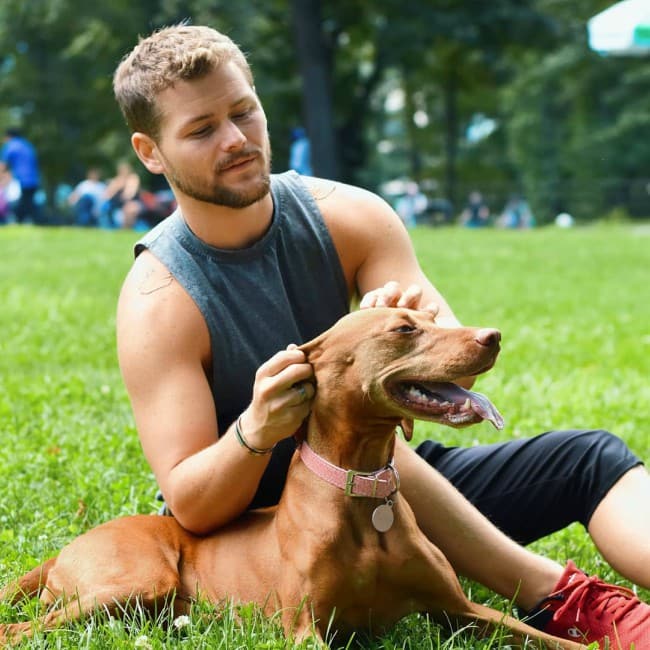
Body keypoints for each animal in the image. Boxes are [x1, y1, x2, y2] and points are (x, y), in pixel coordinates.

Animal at [0, 308, 576, 648]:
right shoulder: (305, 630)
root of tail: (66, 548)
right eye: (404, 328)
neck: (360, 488)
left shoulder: (462, 610)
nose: (494, 337)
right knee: (19, 627)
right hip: (134, 581)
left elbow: (561, 643)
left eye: (429, 317)